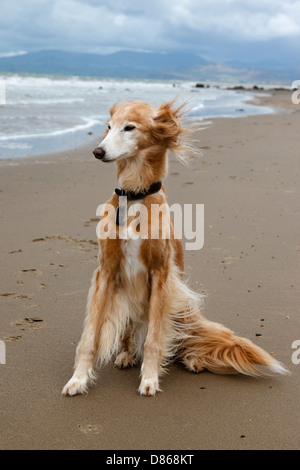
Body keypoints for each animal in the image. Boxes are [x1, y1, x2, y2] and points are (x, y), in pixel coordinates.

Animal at [61, 99, 288, 396]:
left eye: (129, 127)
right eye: (109, 127)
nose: (98, 151)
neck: (134, 196)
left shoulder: (161, 274)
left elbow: (155, 338)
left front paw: (149, 379)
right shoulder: (106, 272)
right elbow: (89, 337)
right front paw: (78, 379)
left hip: (182, 306)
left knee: (185, 340)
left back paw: (192, 359)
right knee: (136, 337)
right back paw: (127, 355)